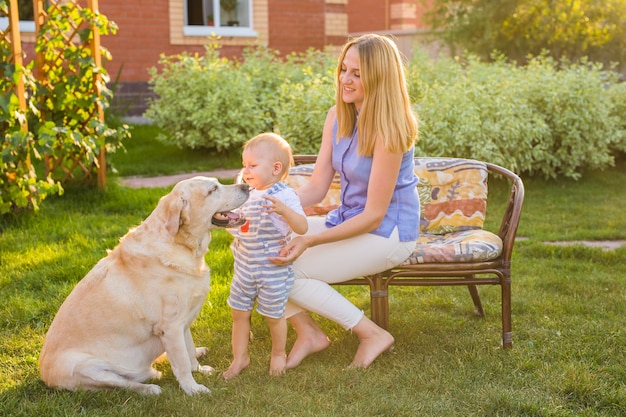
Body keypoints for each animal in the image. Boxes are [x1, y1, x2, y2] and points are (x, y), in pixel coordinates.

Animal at [37, 176, 249, 394]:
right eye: (212, 190)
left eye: (217, 183)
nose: (246, 186)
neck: (182, 245)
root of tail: (45, 378)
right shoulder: (171, 327)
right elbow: (182, 363)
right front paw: (193, 389)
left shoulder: (184, 321)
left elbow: (188, 351)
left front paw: (199, 369)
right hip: (86, 367)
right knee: (124, 384)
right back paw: (150, 388)